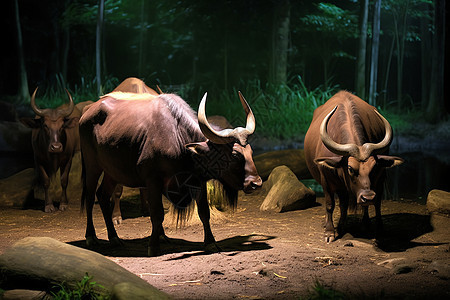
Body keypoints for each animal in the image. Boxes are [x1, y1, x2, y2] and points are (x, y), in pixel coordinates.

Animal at [79, 91, 262, 255]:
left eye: (250, 152)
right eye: (235, 154)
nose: (256, 183)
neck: (178, 140)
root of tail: (86, 113)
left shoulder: (198, 182)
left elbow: (204, 212)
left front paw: (210, 242)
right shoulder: (153, 181)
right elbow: (157, 213)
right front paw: (153, 246)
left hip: (112, 172)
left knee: (103, 196)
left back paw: (114, 238)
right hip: (92, 166)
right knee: (90, 196)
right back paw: (91, 237)